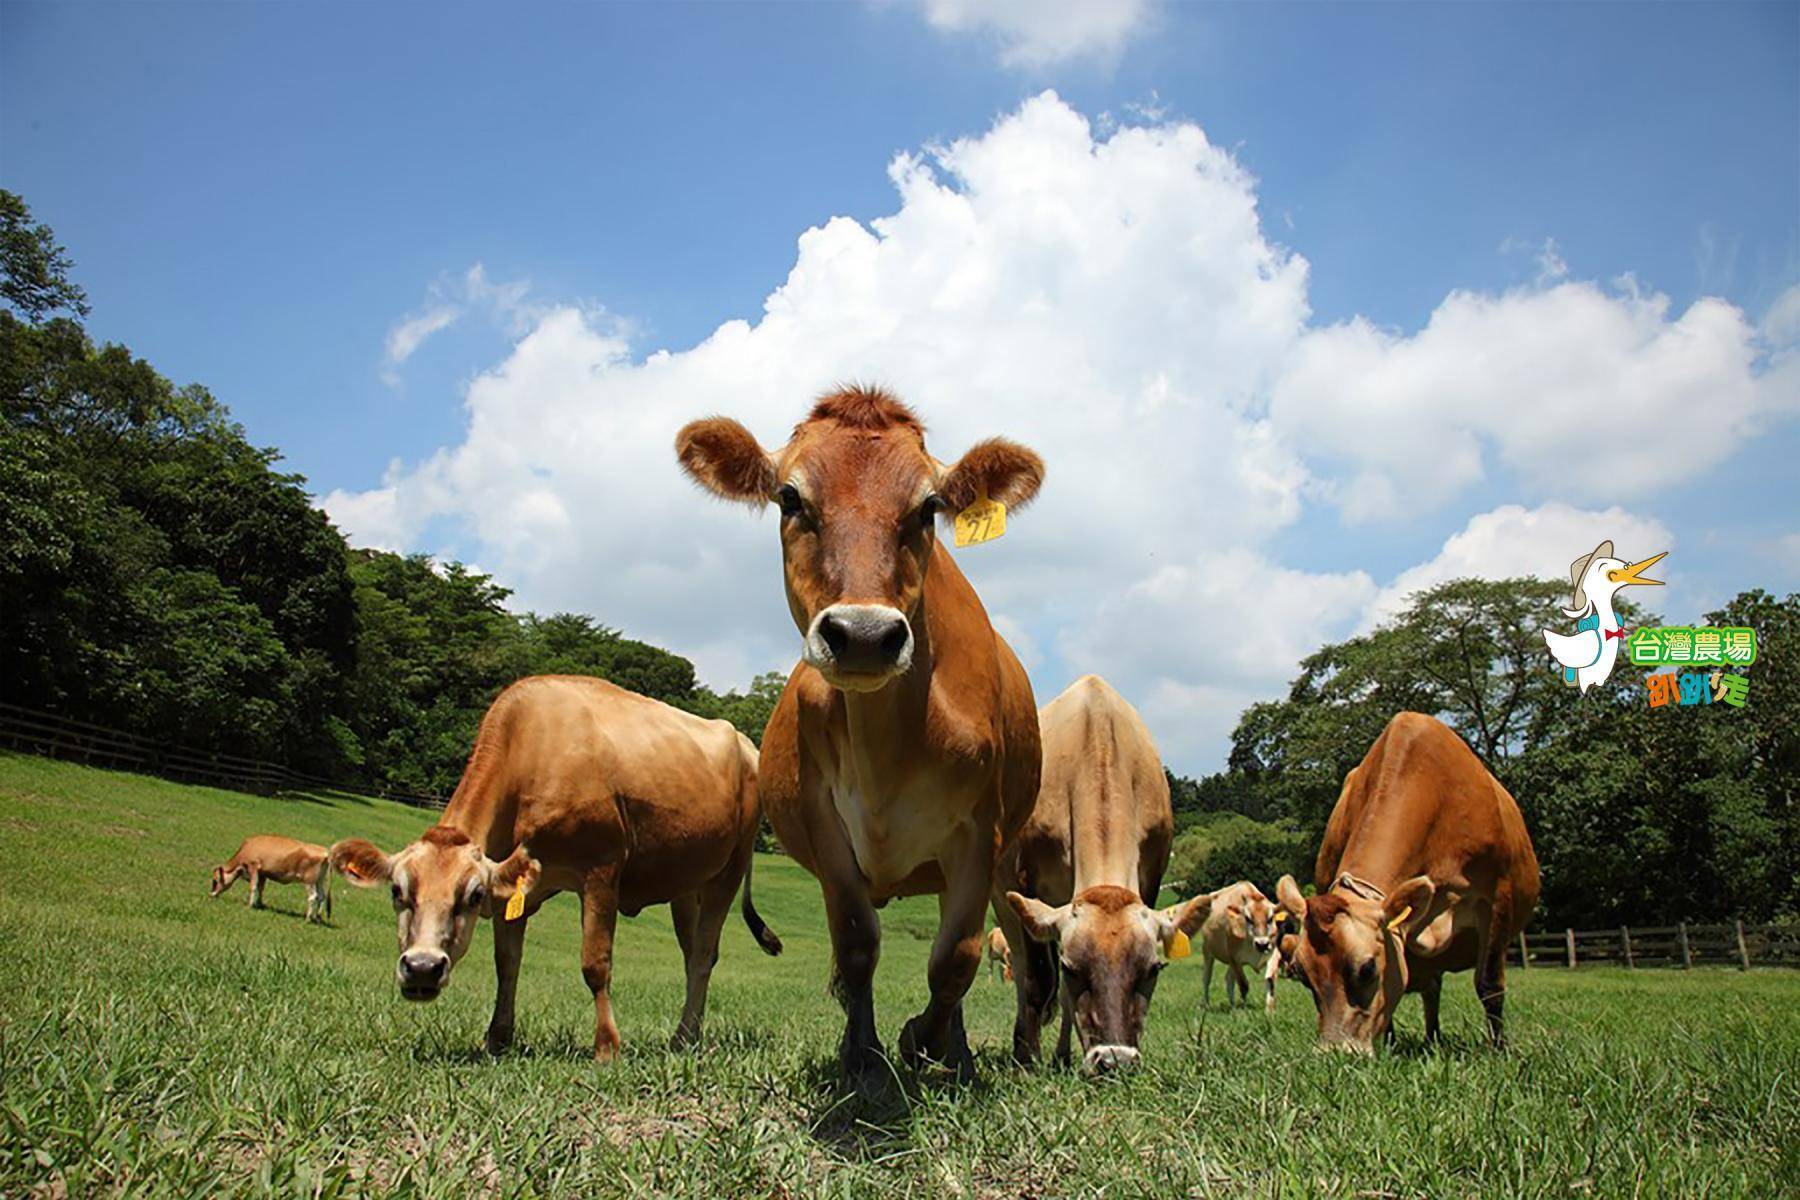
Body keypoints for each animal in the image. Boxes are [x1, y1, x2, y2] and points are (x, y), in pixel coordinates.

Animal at [327, 676, 777, 1057]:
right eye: (397, 891)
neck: (529, 754)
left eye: (472, 895)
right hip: (685, 882)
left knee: (702, 954)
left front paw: (607, 1047)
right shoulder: (513, 885)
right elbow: (507, 962)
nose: (422, 968)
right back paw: (689, 1033)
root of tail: (745, 743)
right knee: (691, 952)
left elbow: (595, 964)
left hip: (730, 868)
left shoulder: (600, 870)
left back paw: (683, 1038)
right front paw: (497, 1039)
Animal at [676, 390, 1044, 1086]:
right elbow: (855, 944)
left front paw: (922, 1040)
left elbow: (955, 956)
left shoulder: (980, 834)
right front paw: (864, 1055)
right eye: (790, 497)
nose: (866, 635)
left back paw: (955, 1054)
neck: (889, 747)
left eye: (929, 507)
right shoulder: (825, 826)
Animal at [1000, 672, 1209, 1072]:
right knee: (1021, 967)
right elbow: (1039, 979)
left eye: (1153, 969)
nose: (1115, 1060)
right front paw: (1028, 1060)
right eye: (1071, 969)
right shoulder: (1025, 882)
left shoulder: (1152, 876)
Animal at [1195, 881, 1281, 1014]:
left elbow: (1270, 980)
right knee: (1206, 979)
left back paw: (1232, 1005)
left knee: (1228, 979)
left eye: (1270, 918)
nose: (1262, 944)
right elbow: (1243, 985)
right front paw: (1244, 1009)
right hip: (1208, 951)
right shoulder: (1235, 958)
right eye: (1248, 918)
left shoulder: (1273, 954)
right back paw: (1207, 1005)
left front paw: (1269, 1011)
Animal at [1274, 712, 1540, 1050]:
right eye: (1302, 973)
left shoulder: (1496, 896)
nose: (1335, 1052)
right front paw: (1389, 1043)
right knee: (1431, 986)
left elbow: (1489, 983)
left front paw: (1498, 1049)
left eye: (1367, 969)